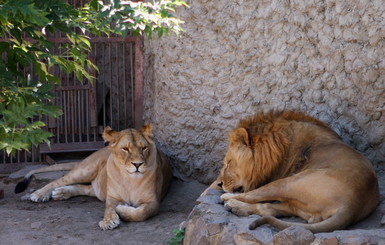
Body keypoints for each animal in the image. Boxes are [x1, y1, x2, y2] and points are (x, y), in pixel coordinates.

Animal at [14, 124, 171, 230]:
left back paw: (61, 193)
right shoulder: (112, 197)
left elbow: (141, 213)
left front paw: (121, 210)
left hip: (98, 188)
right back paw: (39, 194)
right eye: (125, 149)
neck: (130, 179)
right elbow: (109, 208)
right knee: (58, 181)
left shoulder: (153, 201)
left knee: (84, 188)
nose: (137, 164)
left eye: (143, 148)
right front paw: (108, 221)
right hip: (85, 170)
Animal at [207, 110, 378, 233]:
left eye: (228, 163)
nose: (220, 183)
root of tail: (352, 206)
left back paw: (229, 199)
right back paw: (236, 207)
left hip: (290, 182)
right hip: (297, 203)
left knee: (253, 196)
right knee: (269, 209)